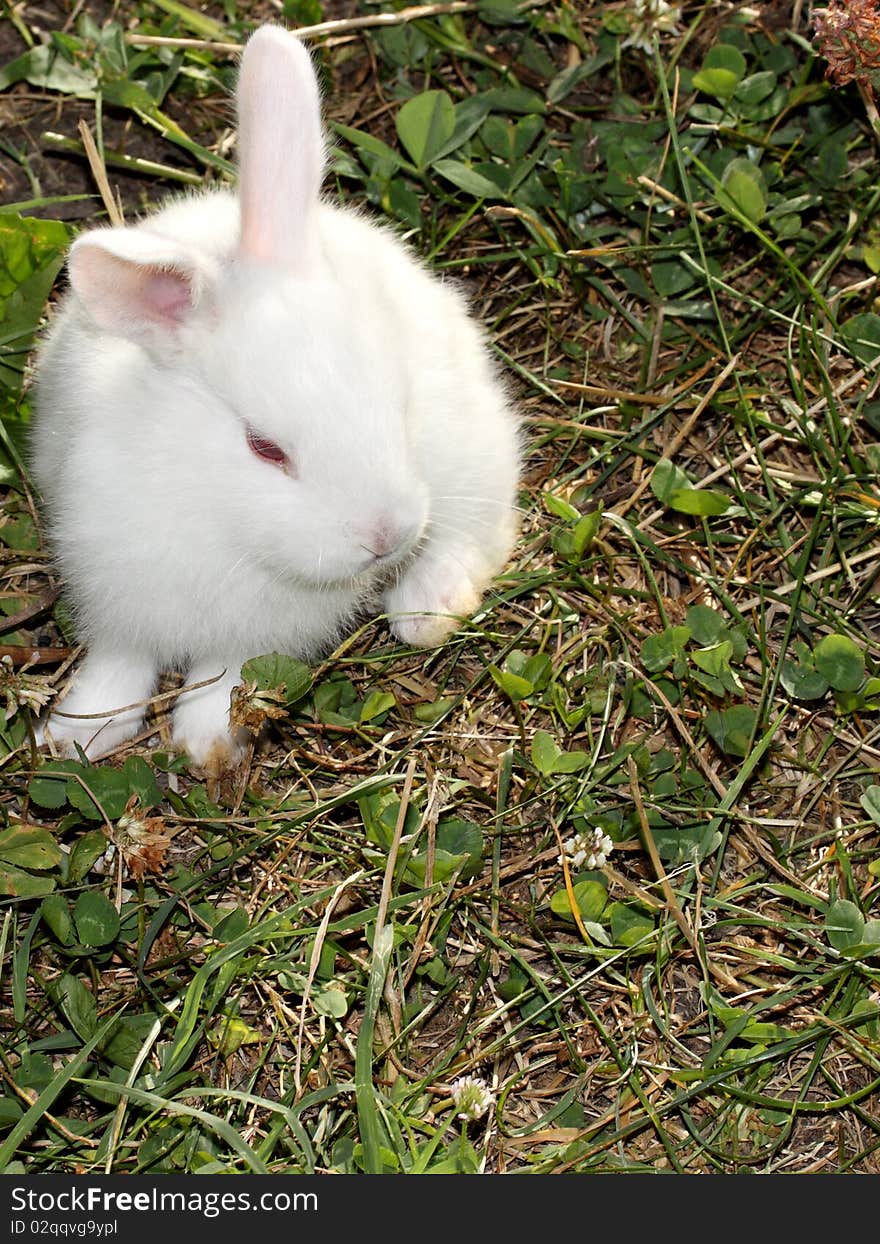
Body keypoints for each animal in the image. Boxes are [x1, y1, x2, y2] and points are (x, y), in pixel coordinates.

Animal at [30, 21, 520, 766]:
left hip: (469, 447)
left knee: (485, 525)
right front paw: (79, 734)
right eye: (265, 448)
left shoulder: (256, 632)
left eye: (395, 401)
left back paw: (428, 605)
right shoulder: (116, 584)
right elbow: (118, 661)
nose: (385, 537)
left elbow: (225, 675)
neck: (221, 518)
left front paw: (205, 742)